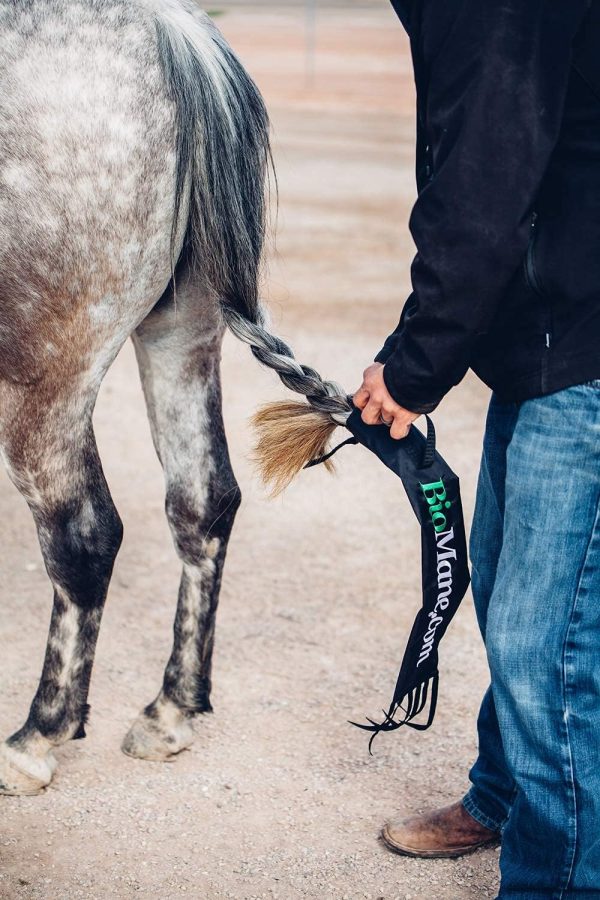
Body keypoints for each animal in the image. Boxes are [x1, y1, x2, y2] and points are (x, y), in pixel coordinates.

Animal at [0, 0, 351, 796]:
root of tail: (167, 30)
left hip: (44, 376)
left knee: (82, 535)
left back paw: (36, 737)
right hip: (181, 329)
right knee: (203, 500)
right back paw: (170, 711)